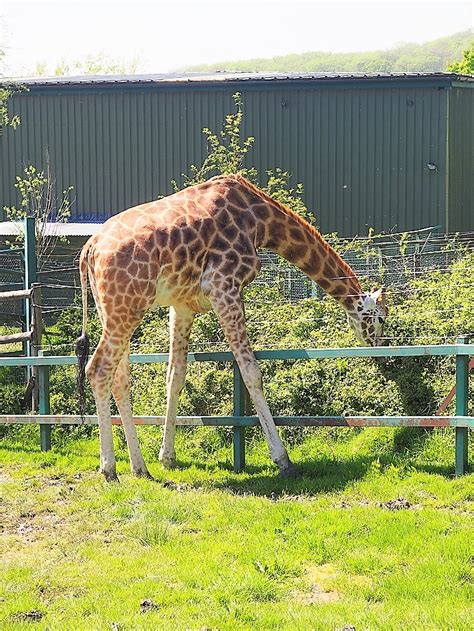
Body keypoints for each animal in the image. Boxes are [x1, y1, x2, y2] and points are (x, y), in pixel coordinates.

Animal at [77, 175, 388, 482]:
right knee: (98, 369)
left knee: (120, 379)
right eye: (382, 318)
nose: (381, 351)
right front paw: (283, 460)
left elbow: (175, 376)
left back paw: (140, 468)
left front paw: (167, 457)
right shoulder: (223, 285)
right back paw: (109, 470)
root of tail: (89, 250)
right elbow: (251, 373)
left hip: (113, 308)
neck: (262, 221)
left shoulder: (182, 305)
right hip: (127, 306)